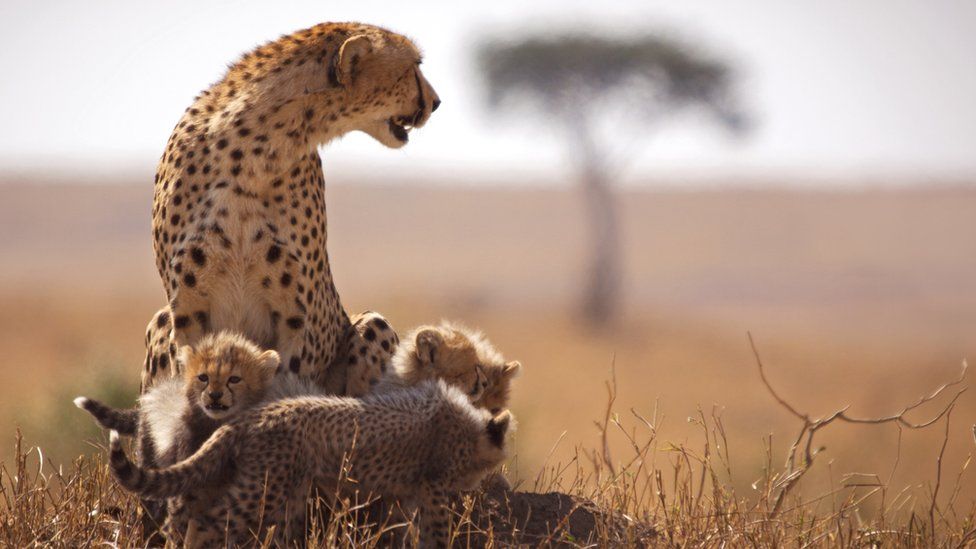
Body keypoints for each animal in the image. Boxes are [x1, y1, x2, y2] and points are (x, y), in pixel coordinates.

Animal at [141, 22, 438, 394]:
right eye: (413, 65)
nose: (436, 102)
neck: (255, 149)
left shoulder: (294, 318)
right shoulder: (187, 311)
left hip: (373, 325)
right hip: (160, 320)